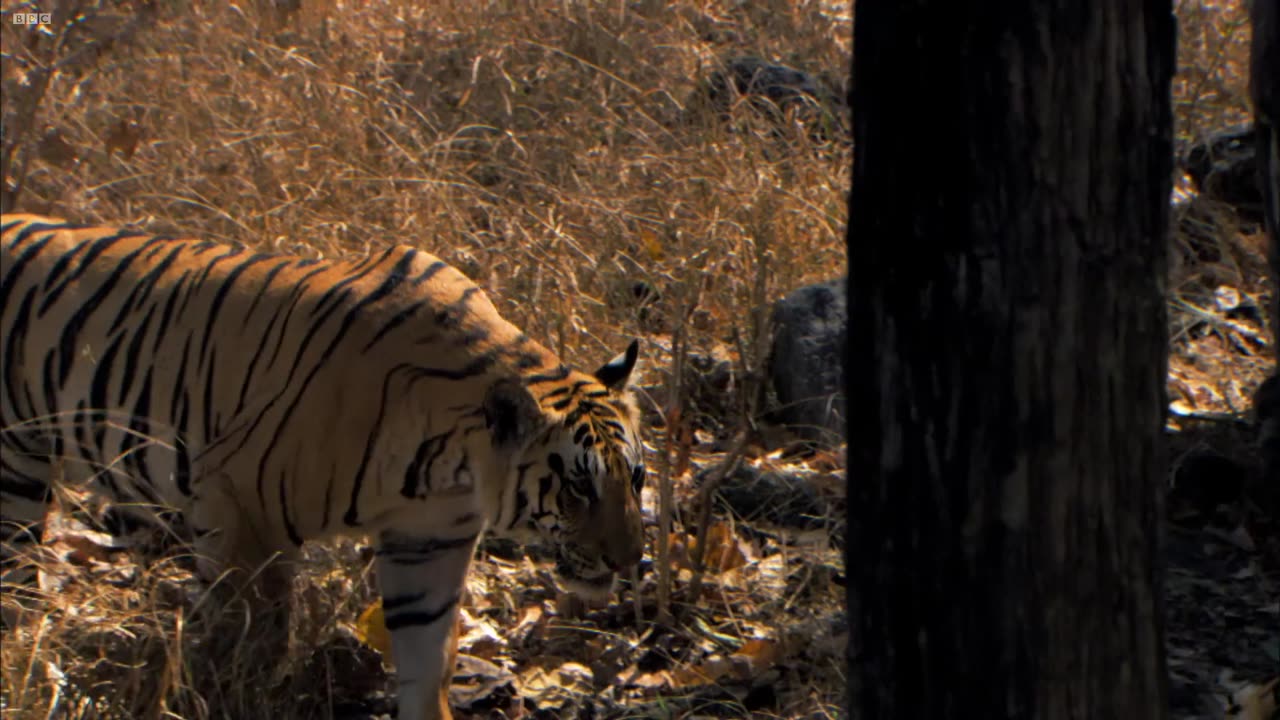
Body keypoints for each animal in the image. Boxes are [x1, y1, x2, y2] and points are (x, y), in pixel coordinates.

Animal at [2, 212, 650, 717]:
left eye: (637, 478)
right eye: (576, 488)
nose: (628, 562)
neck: (450, 466)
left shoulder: (428, 541)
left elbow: (427, 658)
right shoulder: (241, 508)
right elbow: (248, 637)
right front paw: (232, 698)